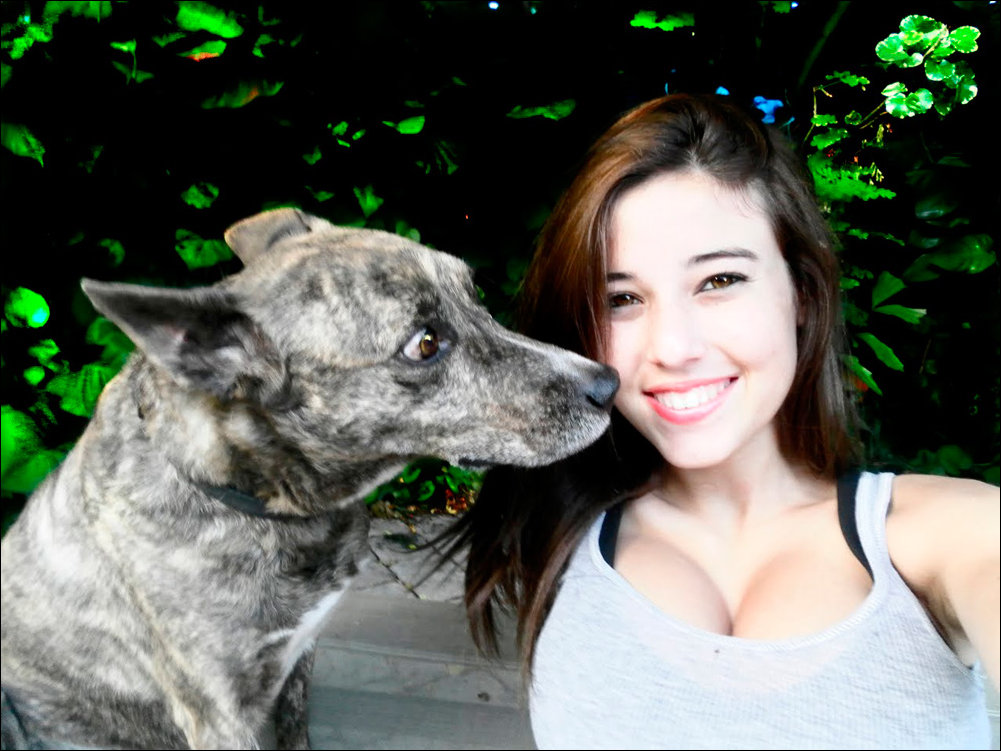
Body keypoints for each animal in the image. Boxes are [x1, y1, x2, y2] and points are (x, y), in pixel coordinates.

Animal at [0, 208, 618, 749]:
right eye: (424, 344)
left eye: (476, 298)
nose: (607, 385)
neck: (256, 503)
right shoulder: (218, 714)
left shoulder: (300, 657)